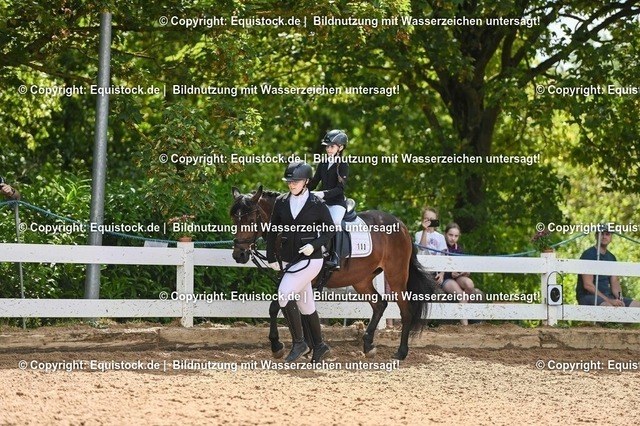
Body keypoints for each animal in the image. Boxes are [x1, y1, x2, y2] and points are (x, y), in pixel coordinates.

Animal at [229, 185, 439, 360]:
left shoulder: (304, 278)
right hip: (361, 280)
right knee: (380, 304)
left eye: (250, 220)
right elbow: (297, 312)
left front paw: (278, 346)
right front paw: (309, 348)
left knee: (405, 310)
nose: (239, 254)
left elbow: (277, 308)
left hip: (396, 276)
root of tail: (401, 225)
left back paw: (401, 352)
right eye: (234, 220)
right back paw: (368, 346)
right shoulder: (292, 278)